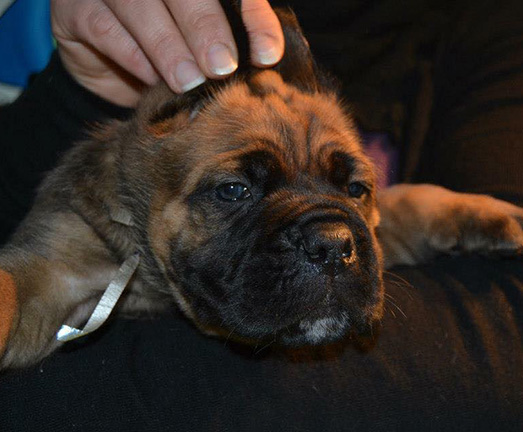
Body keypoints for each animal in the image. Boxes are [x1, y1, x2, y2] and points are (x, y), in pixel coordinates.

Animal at [1, 10, 523, 368]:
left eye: (357, 188)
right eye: (234, 191)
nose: (333, 246)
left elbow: (407, 200)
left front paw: (485, 213)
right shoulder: (52, 270)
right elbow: (9, 289)